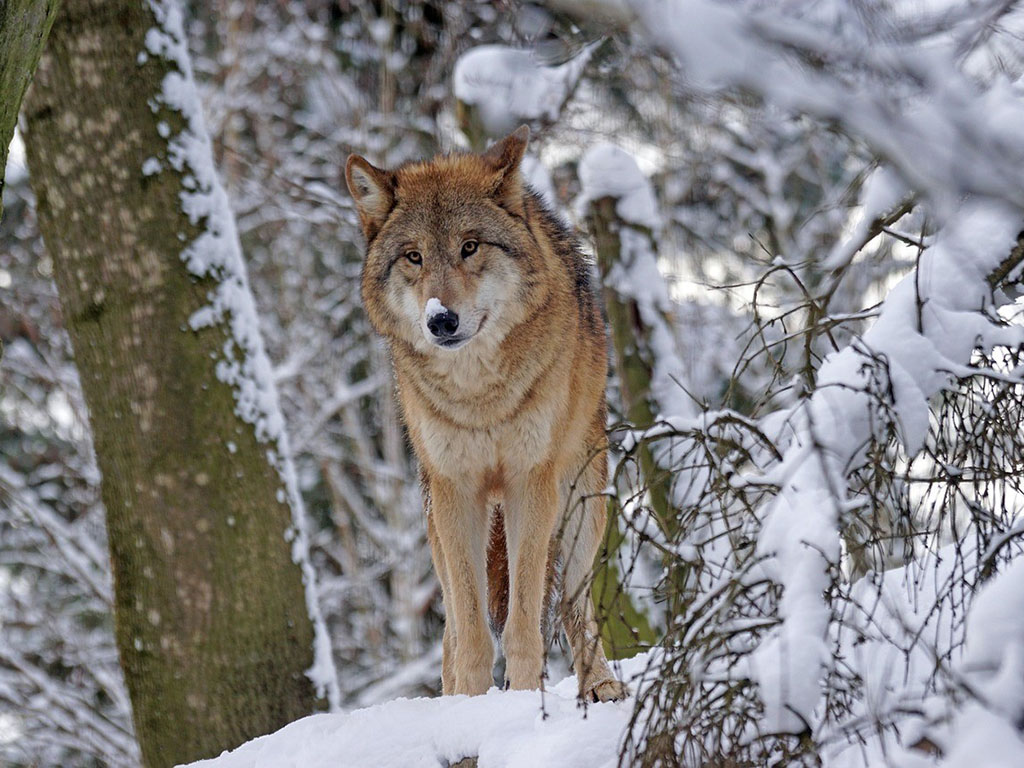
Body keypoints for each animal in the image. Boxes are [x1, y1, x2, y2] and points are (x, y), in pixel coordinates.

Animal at [346, 126, 622, 704]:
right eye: (414, 257)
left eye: (469, 247)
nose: (441, 320)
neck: (479, 396)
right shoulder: (457, 491)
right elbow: (472, 631)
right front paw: (470, 707)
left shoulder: (529, 482)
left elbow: (523, 620)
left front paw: (522, 698)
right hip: (435, 525)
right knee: (450, 630)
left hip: (583, 506)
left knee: (573, 605)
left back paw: (601, 684)